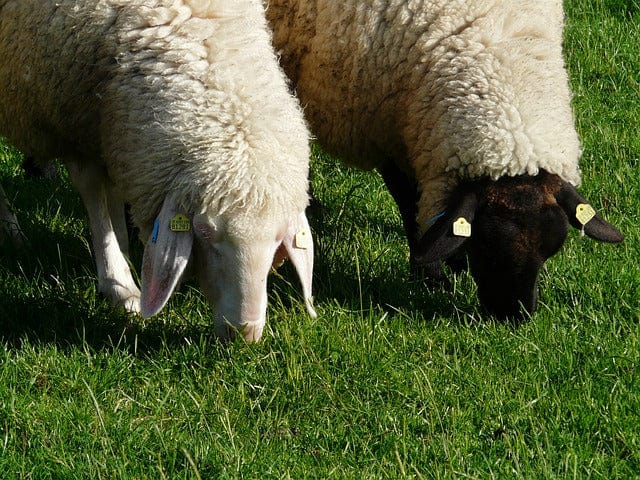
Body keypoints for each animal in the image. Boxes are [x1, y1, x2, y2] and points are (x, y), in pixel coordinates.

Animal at [0, 0, 316, 341]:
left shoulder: (110, 123)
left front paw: (122, 247)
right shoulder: (71, 116)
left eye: (278, 240)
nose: (244, 333)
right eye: (204, 233)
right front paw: (118, 284)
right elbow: (93, 193)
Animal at [265, 0, 623, 318]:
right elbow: (410, 204)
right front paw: (431, 276)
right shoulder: (389, 131)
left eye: (551, 251)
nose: (514, 317)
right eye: (485, 246)